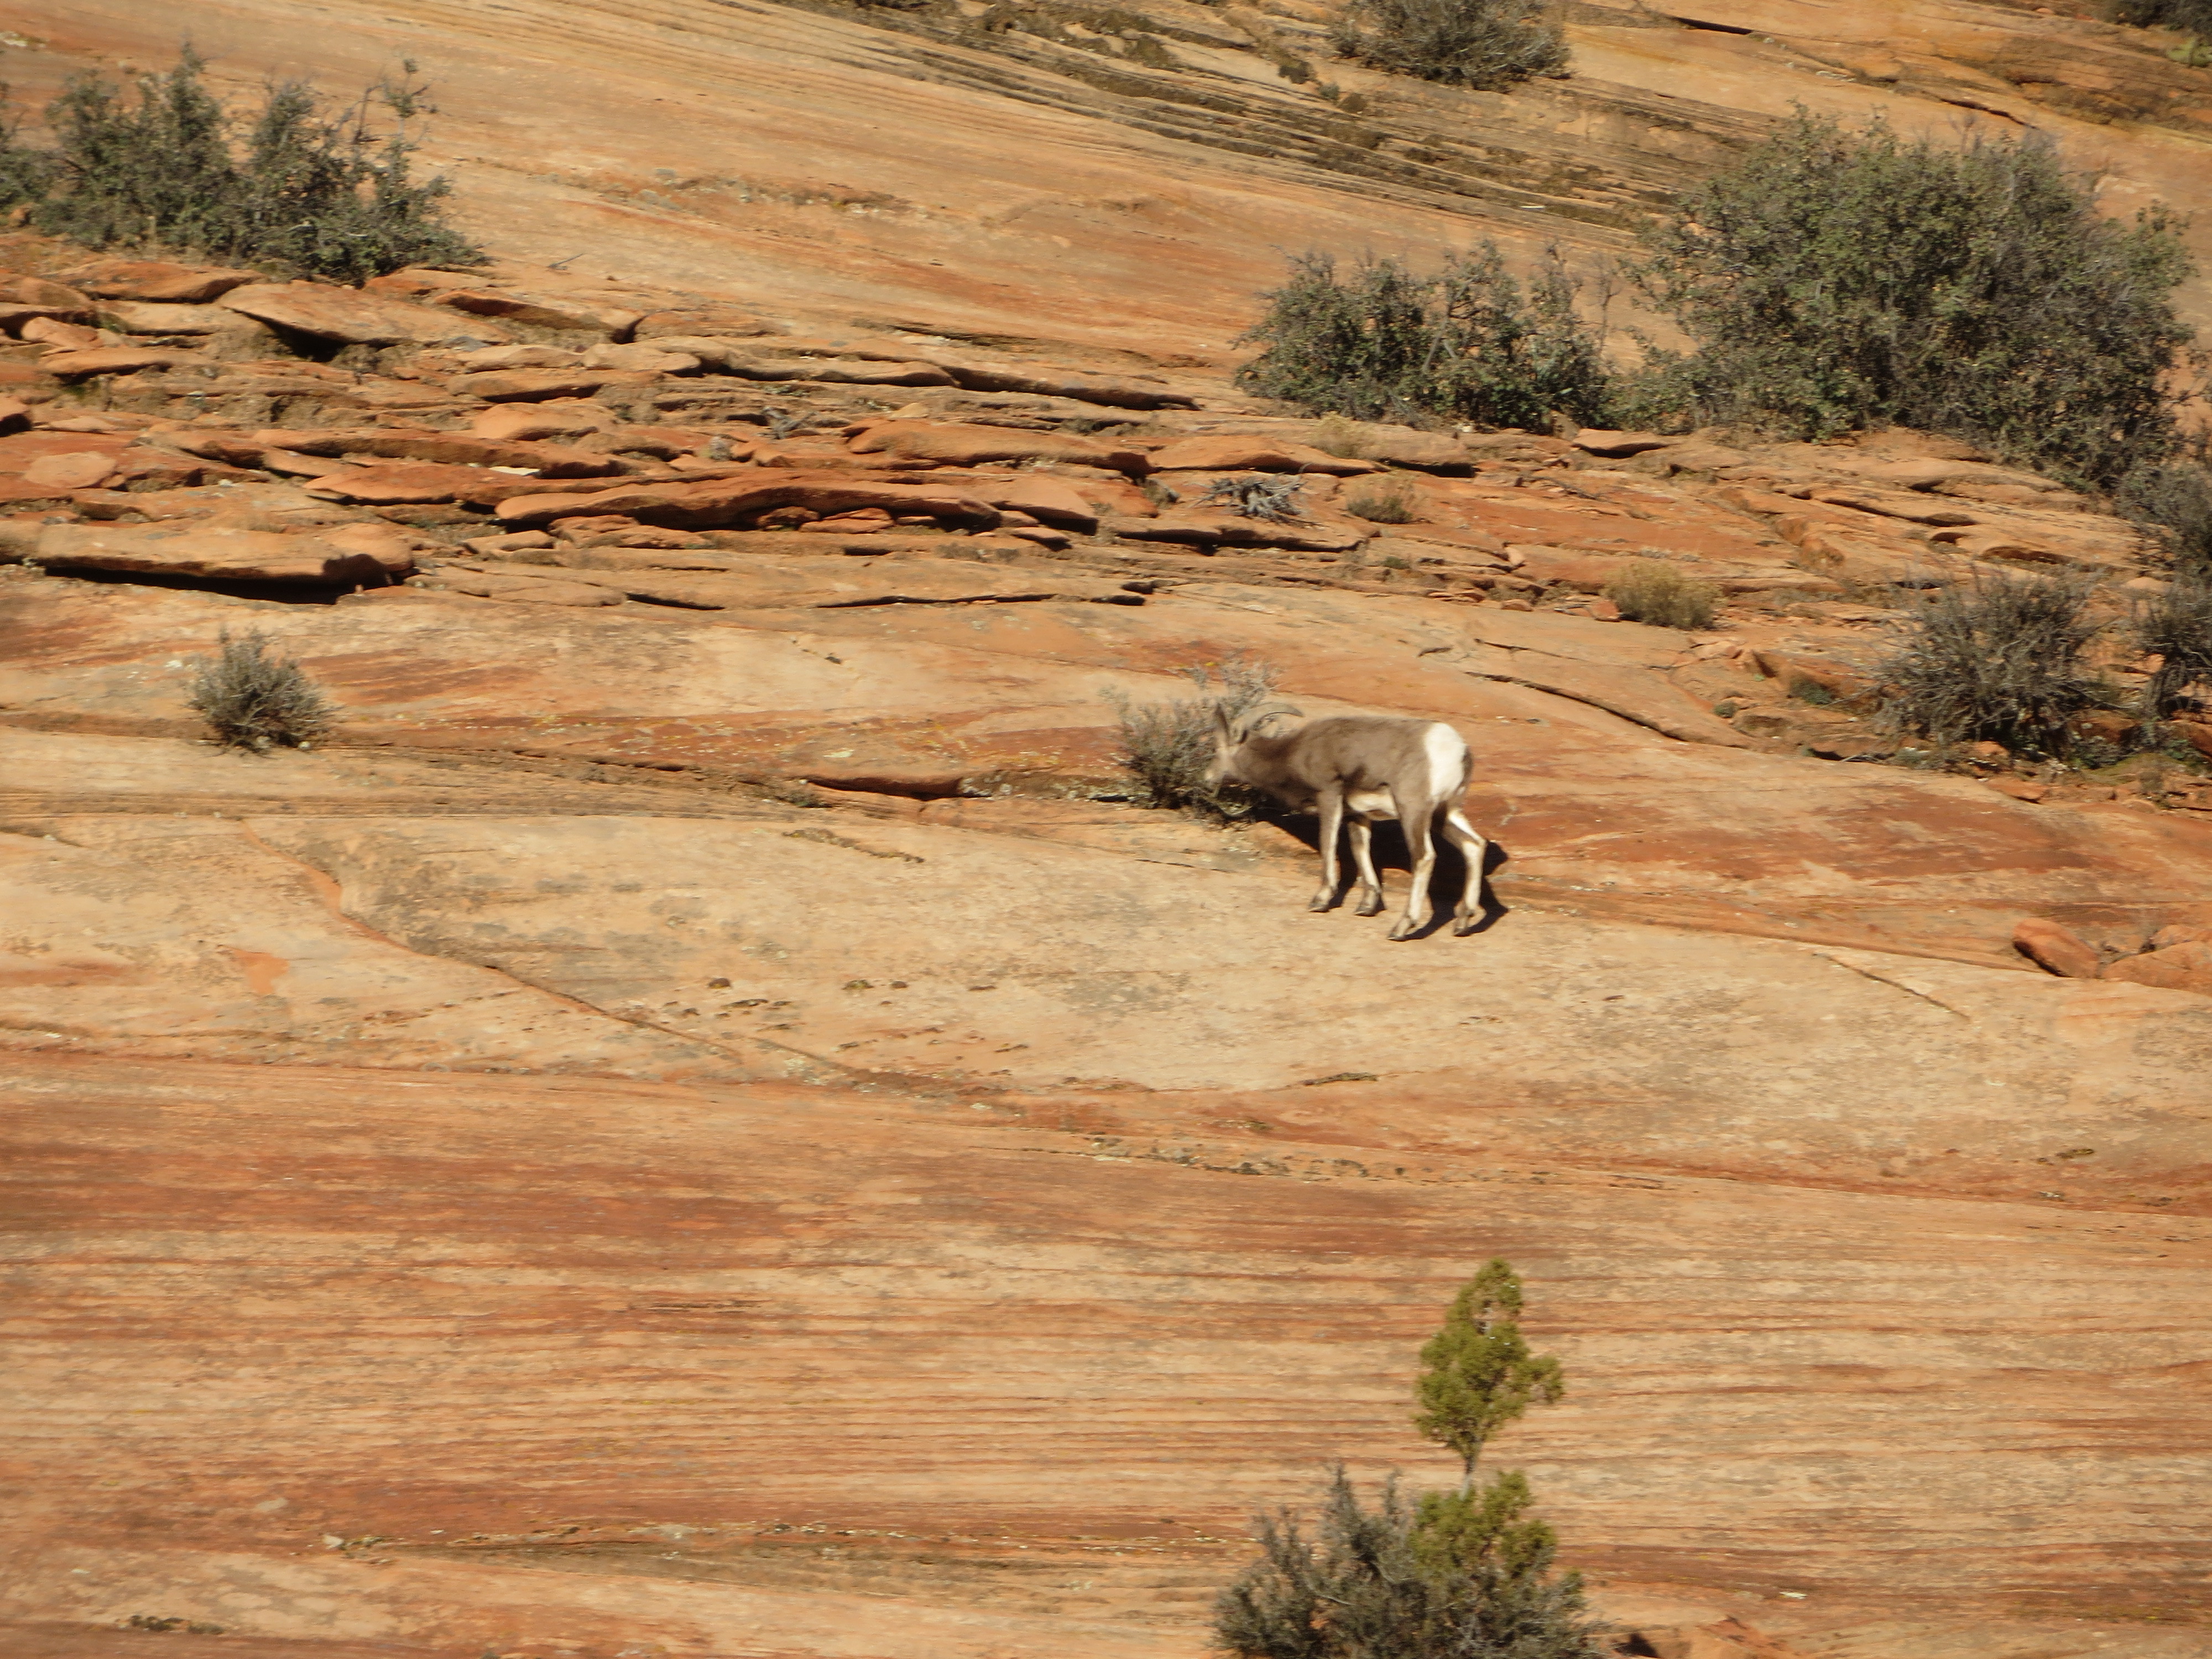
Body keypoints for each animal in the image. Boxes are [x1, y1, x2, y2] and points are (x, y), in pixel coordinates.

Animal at [1206, 708, 1489, 939]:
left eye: (1216, 750)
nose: (1208, 780)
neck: (1293, 753)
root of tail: (1458, 750)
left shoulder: (1329, 795)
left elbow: (1328, 843)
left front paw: (1320, 901)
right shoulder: (1357, 814)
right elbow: (1359, 849)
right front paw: (1366, 907)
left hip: (1413, 811)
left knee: (1424, 857)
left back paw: (1401, 929)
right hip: (1445, 814)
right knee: (1474, 845)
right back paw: (1462, 924)